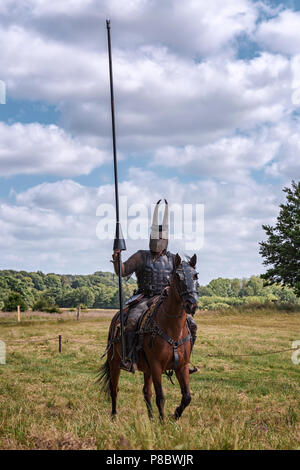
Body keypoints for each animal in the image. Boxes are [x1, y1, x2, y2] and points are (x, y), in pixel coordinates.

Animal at [98, 255, 199, 420]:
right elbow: (161, 397)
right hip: (115, 362)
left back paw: (151, 418)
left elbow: (186, 397)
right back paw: (114, 416)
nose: (191, 304)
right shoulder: (156, 366)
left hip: (147, 369)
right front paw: (163, 421)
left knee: (146, 391)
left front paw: (174, 416)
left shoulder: (182, 367)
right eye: (178, 276)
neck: (172, 329)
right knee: (114, 388)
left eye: (196, 275)